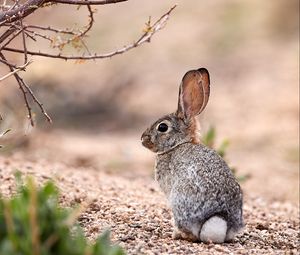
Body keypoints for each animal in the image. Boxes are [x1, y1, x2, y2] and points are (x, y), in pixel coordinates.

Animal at [141, 67, 244, 243]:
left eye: (162, 127)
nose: (142, 139)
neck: (178, 144)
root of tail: (219, 217)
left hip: (179, 201)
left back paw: (175, 234)